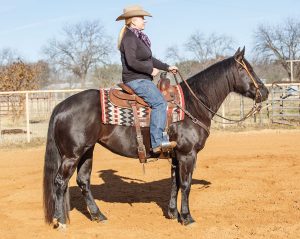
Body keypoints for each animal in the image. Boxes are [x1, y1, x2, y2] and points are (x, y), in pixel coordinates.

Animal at [42, 47, 270, 229]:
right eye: (246, 69)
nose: (265, 92)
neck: (193, 103)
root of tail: (61, 105)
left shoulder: (176, 155)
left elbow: (175, 183)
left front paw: (172, 213)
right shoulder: (188, 154)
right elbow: (185, 184)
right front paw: (187, 218)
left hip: (87, 151)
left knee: (83, 181)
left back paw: (99, 216)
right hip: (72, 155)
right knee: (59, 182)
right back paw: (60, 221)